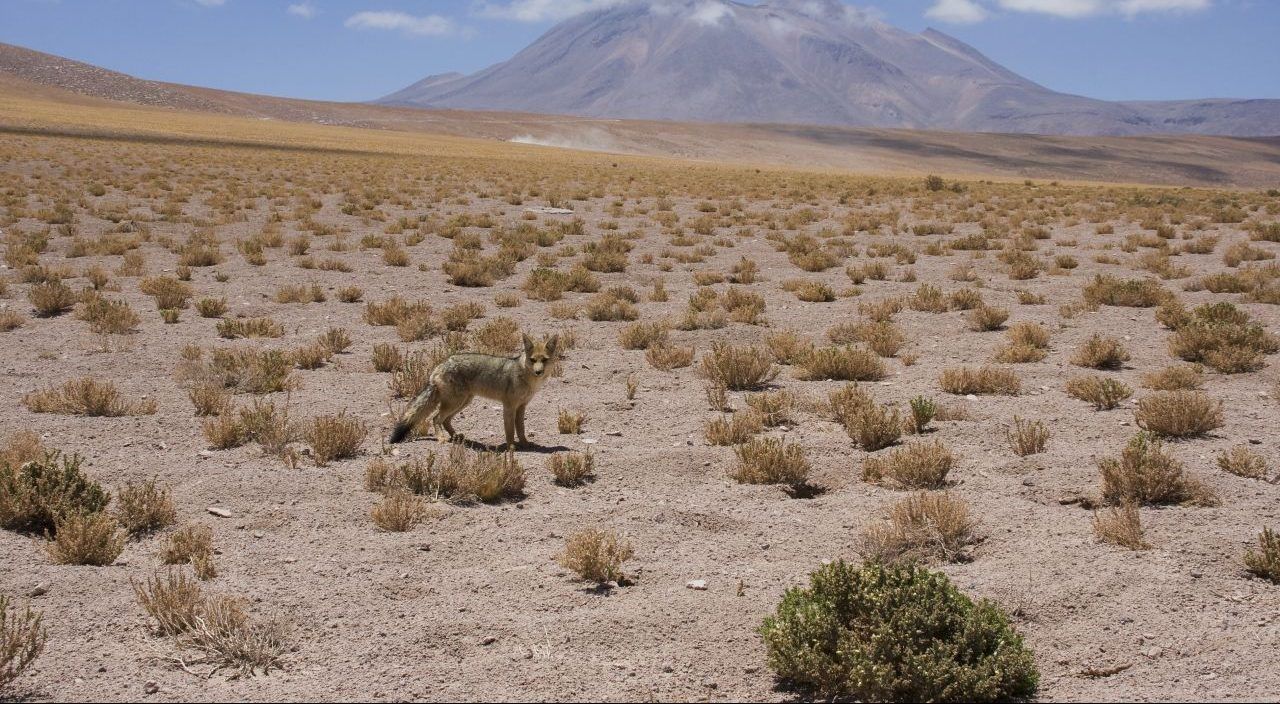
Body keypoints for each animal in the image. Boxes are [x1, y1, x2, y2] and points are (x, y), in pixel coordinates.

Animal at [386, 332, 563, 450]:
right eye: (532, 360)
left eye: (544, 360)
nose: (538, 372)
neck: (528, 379)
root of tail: (440, 365)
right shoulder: (509, 406)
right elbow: (510, 430)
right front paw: (511, 447)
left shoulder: (521, 407)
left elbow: (521, 429)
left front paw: (525, 443)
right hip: (455, 402)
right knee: (435, 418)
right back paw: (442, 438)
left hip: (463, 402)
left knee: (445, 420)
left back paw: (456, 437)